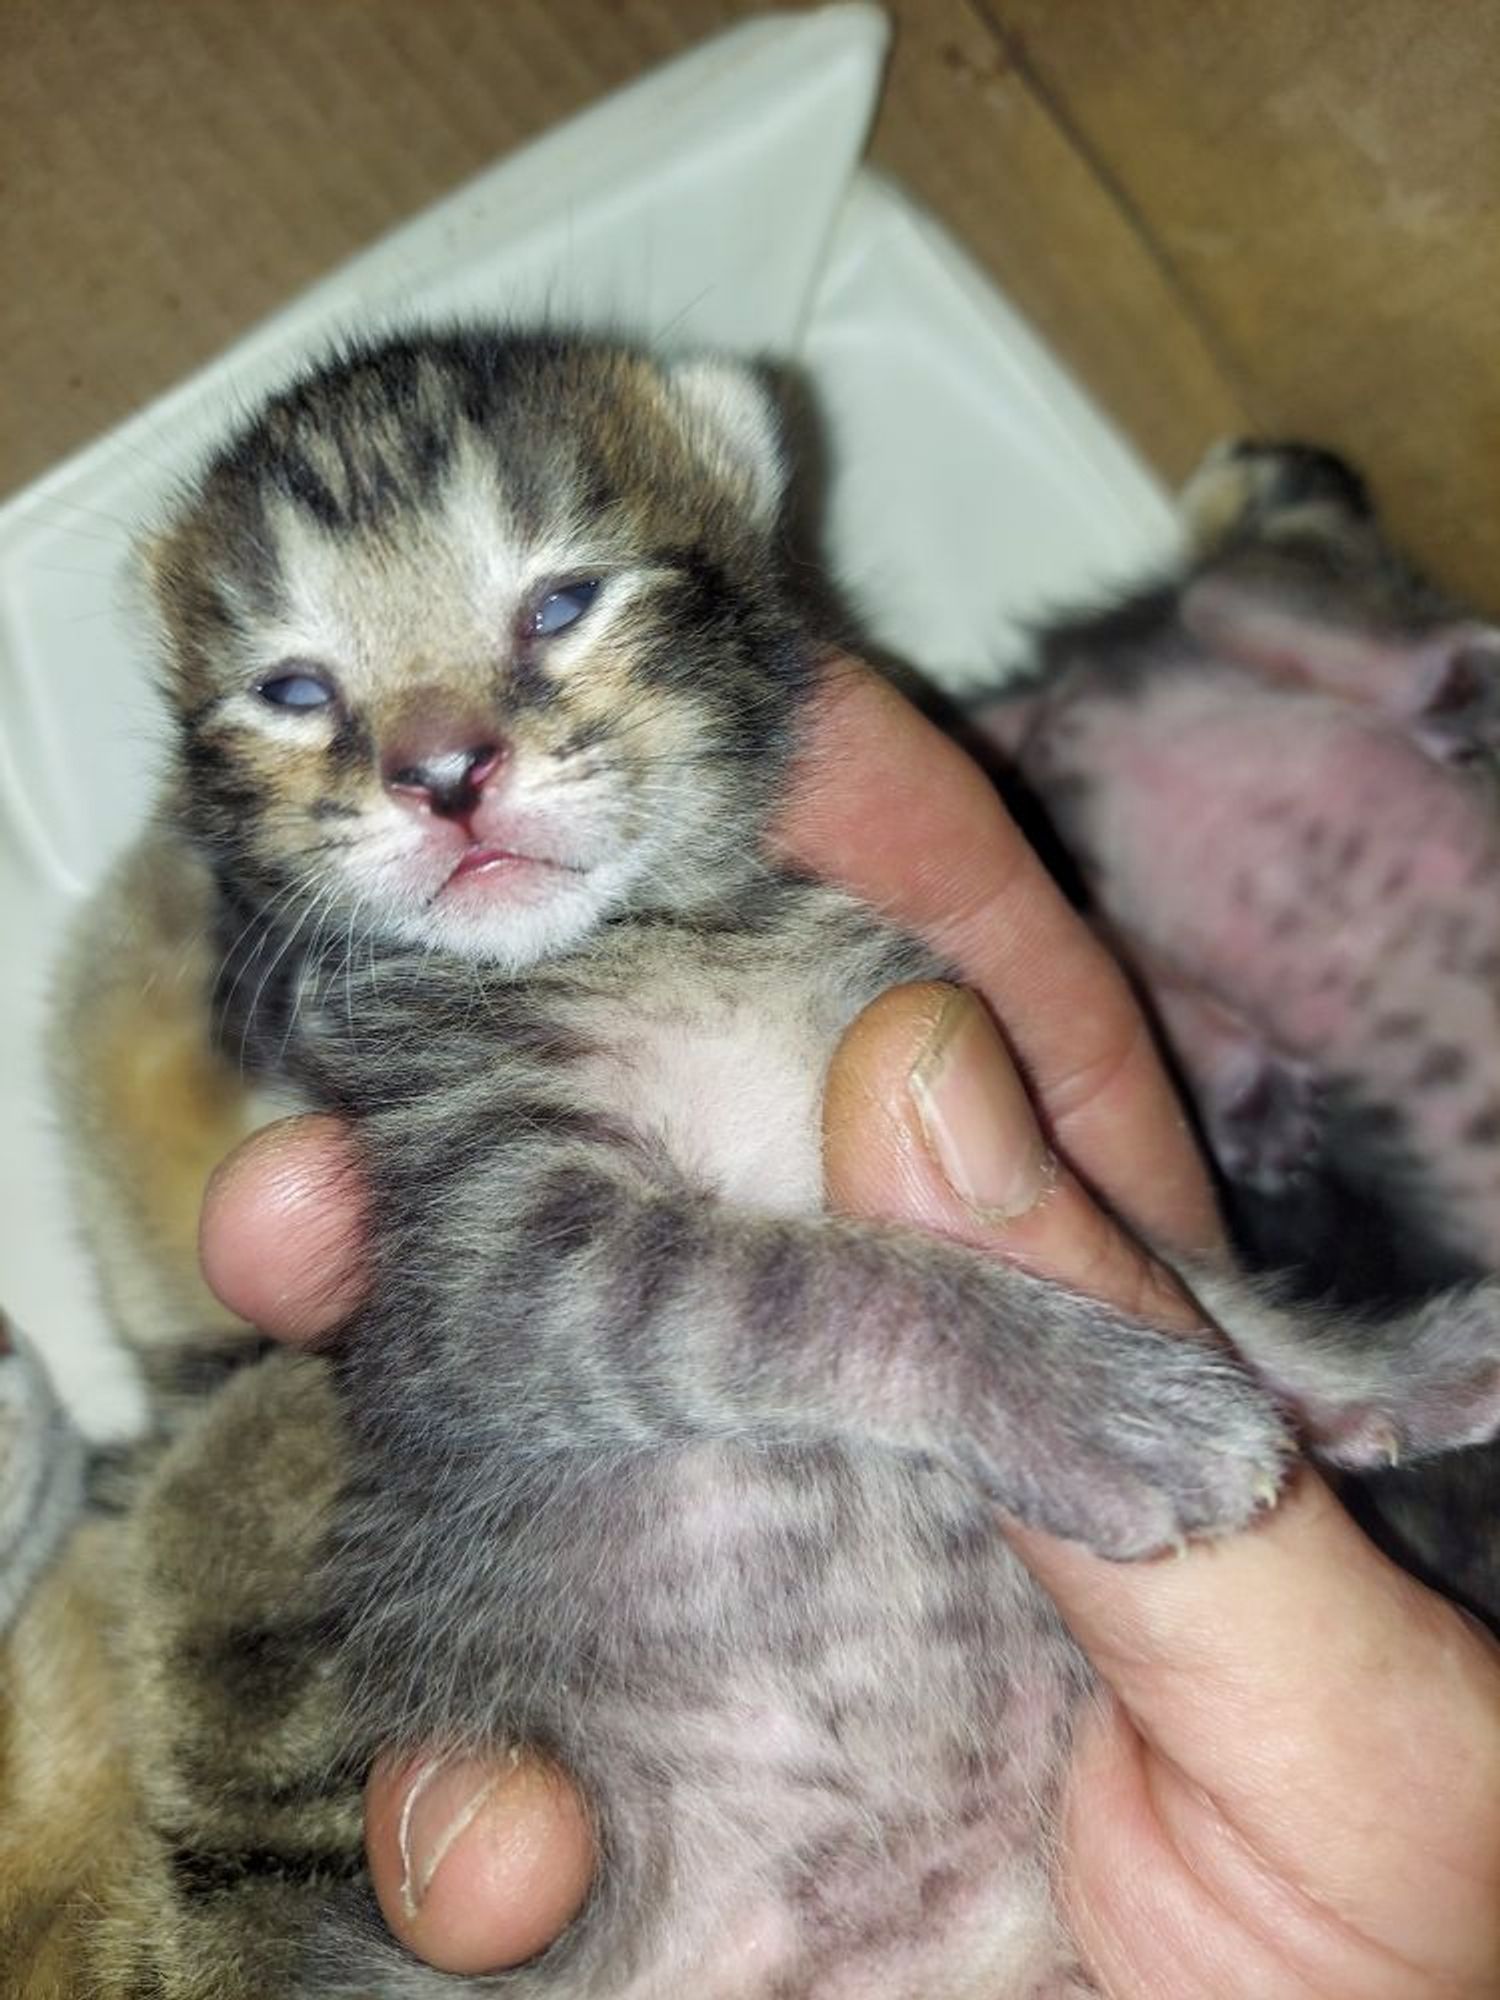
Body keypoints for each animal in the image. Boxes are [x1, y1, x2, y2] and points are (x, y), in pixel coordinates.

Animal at [32, 336, 1500, 1992]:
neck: (660, 938)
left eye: (560, 602)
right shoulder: (499, 1246)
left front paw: (1385, 1370)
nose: (443, 773)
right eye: (293, 689)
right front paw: (1115, 1409)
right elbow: (810, 1283)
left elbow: (1188, 1273)